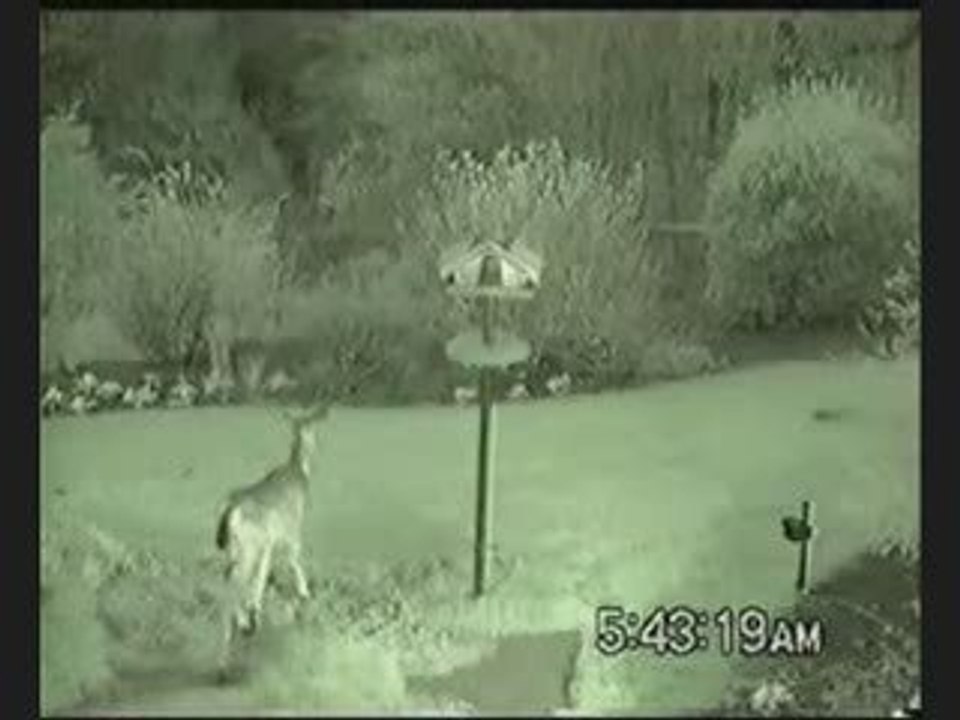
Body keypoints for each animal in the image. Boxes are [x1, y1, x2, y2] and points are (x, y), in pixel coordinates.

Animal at [215, 401, 331, 667]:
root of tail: (232, 511)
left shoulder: (270, 542)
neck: (297, 473)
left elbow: (263, 576)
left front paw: (255, 610)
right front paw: (304, 593)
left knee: (228, 580)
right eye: (310, 425)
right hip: (248, 546)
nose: (313, 443)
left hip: (235, 549)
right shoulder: (292, 530)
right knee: (235, 581)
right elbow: (294, 561)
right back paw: (240, 628)